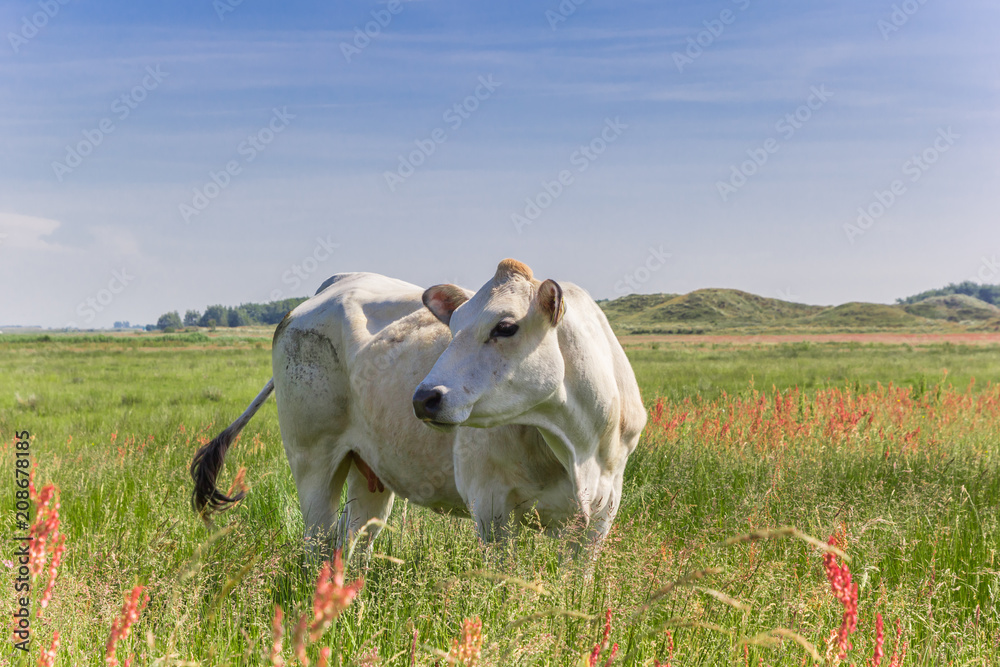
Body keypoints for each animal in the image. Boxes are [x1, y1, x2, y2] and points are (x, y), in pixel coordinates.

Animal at [191, 259, 646, 554]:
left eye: (506, 326)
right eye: (453, 327)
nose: (423, 398)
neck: (577, 445)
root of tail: (335, 283)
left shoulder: (600, 514)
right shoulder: (491, 507)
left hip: (368, 471)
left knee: (350, 539)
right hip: (312, 461)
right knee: (316, 542)